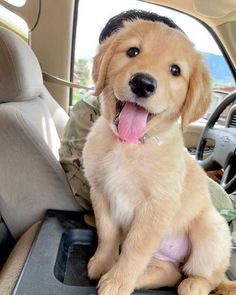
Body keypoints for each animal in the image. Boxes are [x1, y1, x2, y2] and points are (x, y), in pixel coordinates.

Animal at [82, 9, 232, 295]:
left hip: (211, 229)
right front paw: (103, 264)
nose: (142, 83)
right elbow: (107, 234)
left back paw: (194, 285)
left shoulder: (157, 206)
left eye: (175, 70)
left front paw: (118, 282)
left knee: (208, 276)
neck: (129, 145)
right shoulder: (100, 192)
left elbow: (134, 248)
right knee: (171, 273)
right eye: (132, 52)